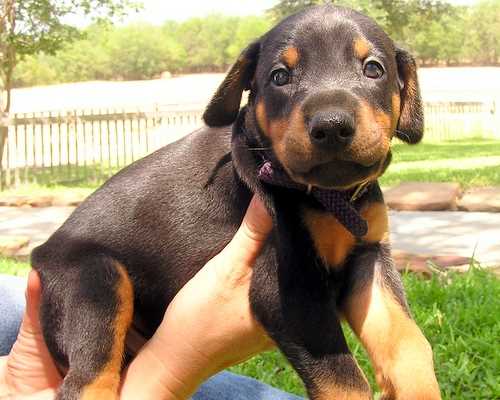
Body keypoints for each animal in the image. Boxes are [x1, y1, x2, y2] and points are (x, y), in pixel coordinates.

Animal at [31, 6, 440, 400]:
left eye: (373, 69)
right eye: (279, 76)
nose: (331, 126)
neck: (330, 197)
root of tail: (43, 252)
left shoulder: (368, 258)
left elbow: (410, 345)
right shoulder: (287, 288)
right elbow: (345, 381)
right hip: (95, 282)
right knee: (87, 380)